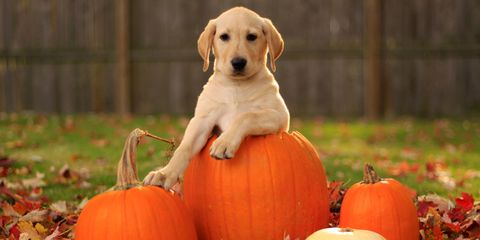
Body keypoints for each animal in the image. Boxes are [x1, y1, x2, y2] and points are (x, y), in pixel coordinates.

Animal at [143, 6, 288, 188]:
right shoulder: (202, 120)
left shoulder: (280, 116)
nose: (238, 63)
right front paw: (165, 173)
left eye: (252, 37)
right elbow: (184, 147)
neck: (237, 86)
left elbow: (247, 115)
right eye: (224, 37)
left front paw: (224, 143)